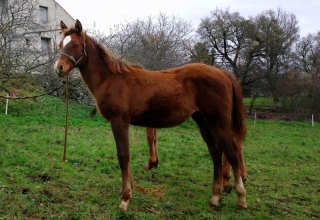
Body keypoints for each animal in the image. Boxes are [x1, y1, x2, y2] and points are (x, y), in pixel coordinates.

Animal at [55, 20, 248, 211]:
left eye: (76, 45)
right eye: (60, 45)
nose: (59, 68)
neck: (110, 79)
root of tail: (225, 73)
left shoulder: (119, 122)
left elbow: (123, 156)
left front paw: (125, 198)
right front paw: (127, 191)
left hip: (219, 122)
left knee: (232, 153)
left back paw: (241, 197)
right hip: (203, 121)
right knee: (216, 153)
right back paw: (215, 197)